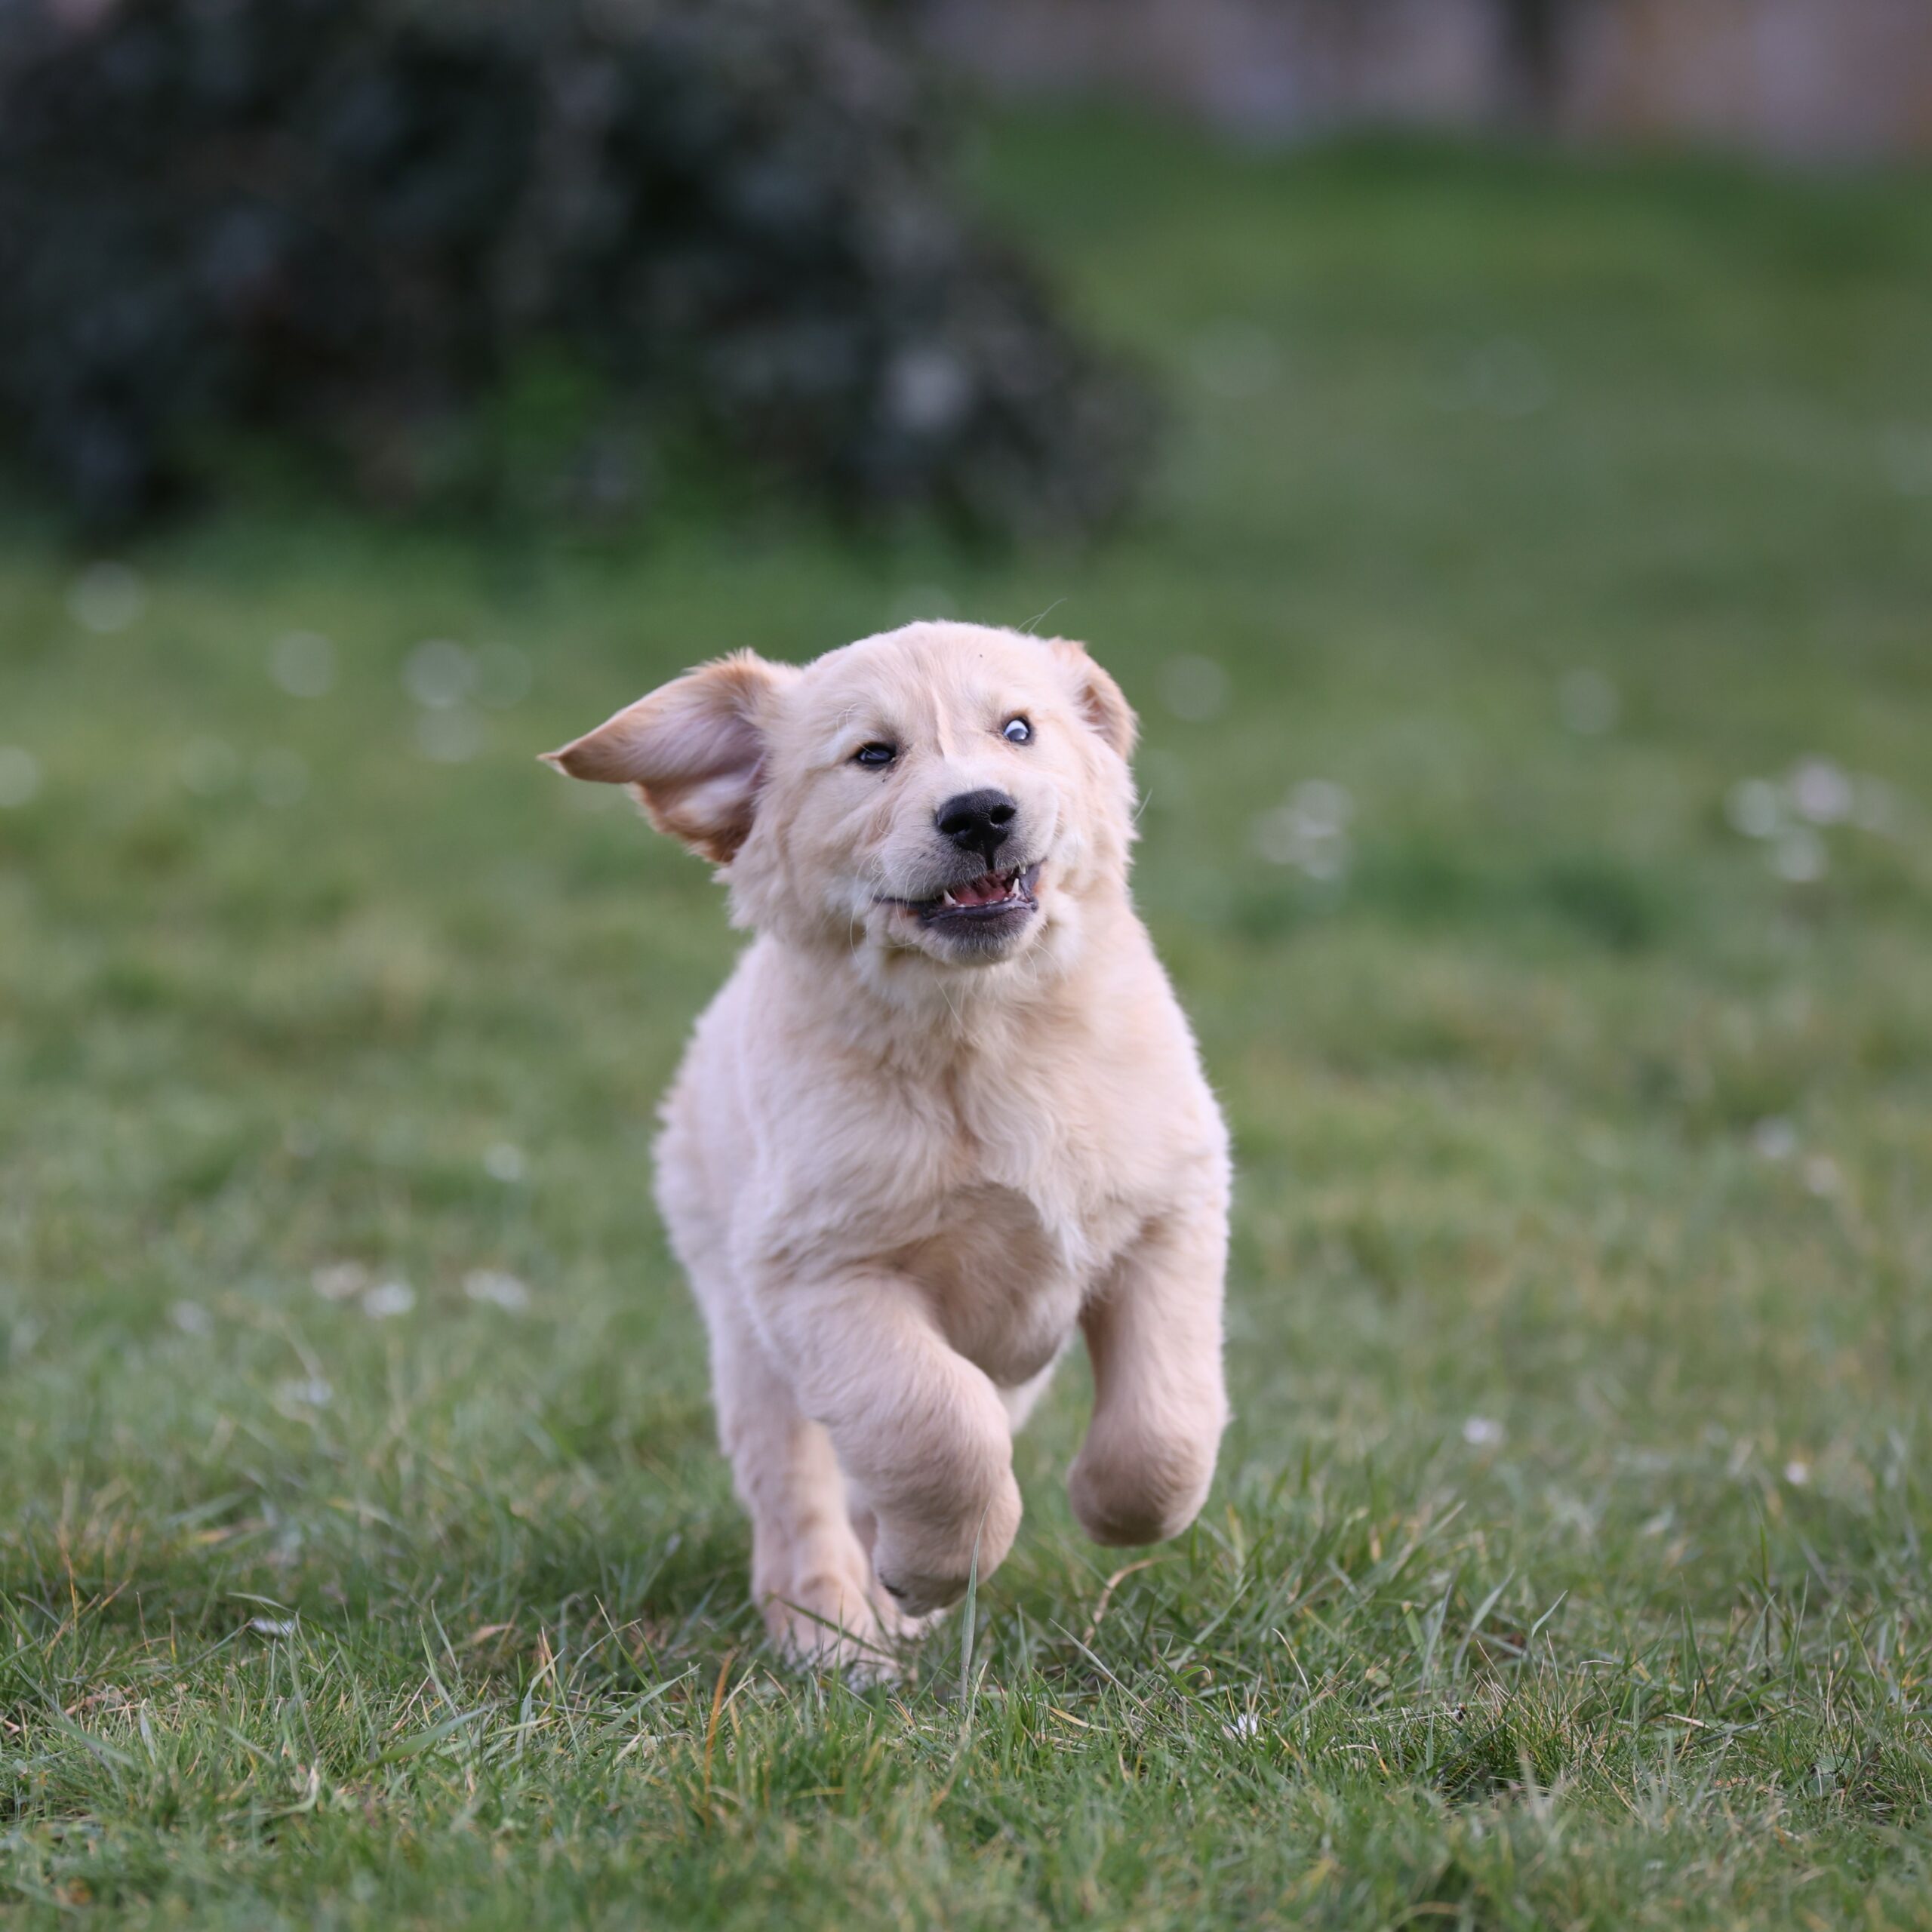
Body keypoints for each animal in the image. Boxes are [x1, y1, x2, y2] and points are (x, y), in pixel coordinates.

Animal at [544, 626, 1229, 1669]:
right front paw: (932, 1571)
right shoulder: (820, 1272)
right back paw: (834, 1630)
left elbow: (1165, 1422)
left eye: (1018, 730)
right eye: (872, 755)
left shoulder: (1172, 1211)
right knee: (804, 1495)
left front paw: (1112, 1511)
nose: (980, 810)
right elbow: (937, 1425)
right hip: (748, 1339)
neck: (983, 1028)